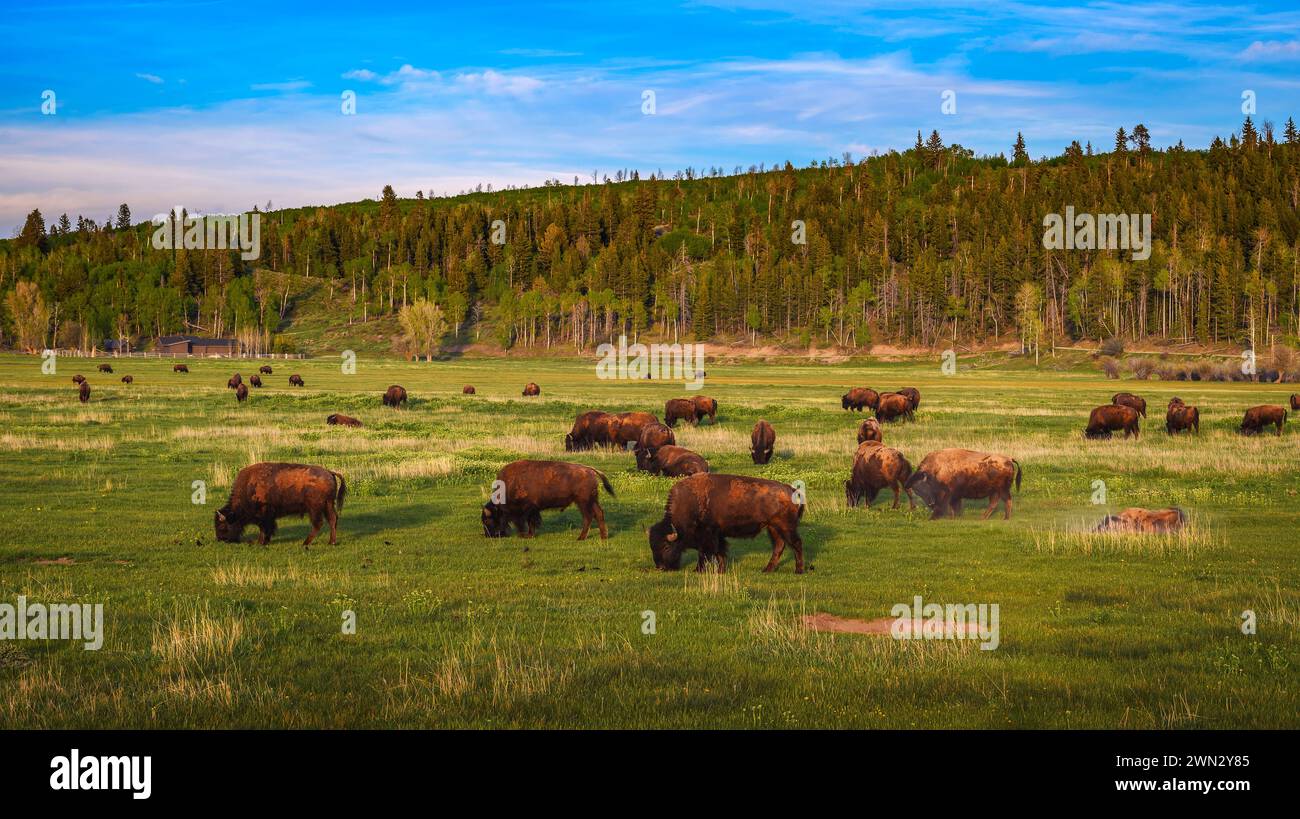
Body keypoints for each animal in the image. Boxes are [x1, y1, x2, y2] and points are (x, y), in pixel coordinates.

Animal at [215, 462, 346, 547]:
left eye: (222, 526)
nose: (221, 539)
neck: (249, 486)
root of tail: (329, 472)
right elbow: (266, 527)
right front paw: (263, 541)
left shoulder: (265, 514)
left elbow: (264, 527)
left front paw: (261, 542)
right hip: (328, 504)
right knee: (332, 519)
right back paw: (331, 542)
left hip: (315, 508)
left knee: (318, 523)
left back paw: (305, 543)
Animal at [481, 460, 614, 540]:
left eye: (488, 520)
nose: (488, 535)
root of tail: (589, 470)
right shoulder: (532, 510)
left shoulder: (528, 509)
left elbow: (529, 522)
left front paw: (526, 535)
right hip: (591, 501)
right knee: (599, 513)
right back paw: (603, 536)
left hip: (583, 502)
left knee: (588, 517)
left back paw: (581, 538)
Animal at [648, 473, 805, 573]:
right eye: (652, 546)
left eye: (666, 546)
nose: (660, 567)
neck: (690, 502)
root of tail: (792, 490)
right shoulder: (718, 535)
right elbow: (720, 551)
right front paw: (721, 570)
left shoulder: (707, 535)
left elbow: (704, 552)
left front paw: (698, 570)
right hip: (773, 528)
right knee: (779, 546)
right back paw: (767, 570)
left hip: (786, 527)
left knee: (796, 543)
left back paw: (798, 570)